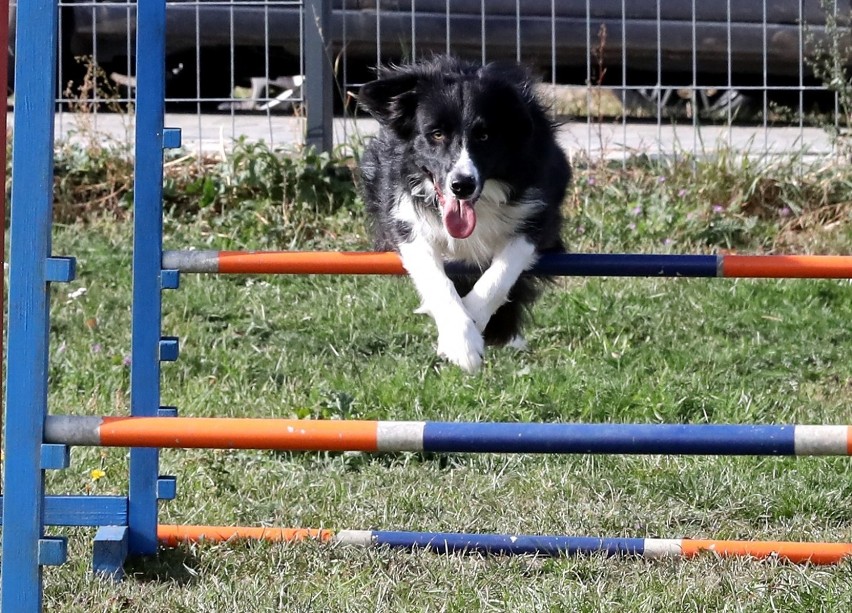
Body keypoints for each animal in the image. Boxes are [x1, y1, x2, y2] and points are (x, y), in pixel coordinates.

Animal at [356, 57, 568, 372]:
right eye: (436, 134)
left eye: (485, 135)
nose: (462, 185)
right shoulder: (403, 217)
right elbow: (435, 277)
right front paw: (461, 340)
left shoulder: (538, 213)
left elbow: (500, 273)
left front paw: (475, 320)